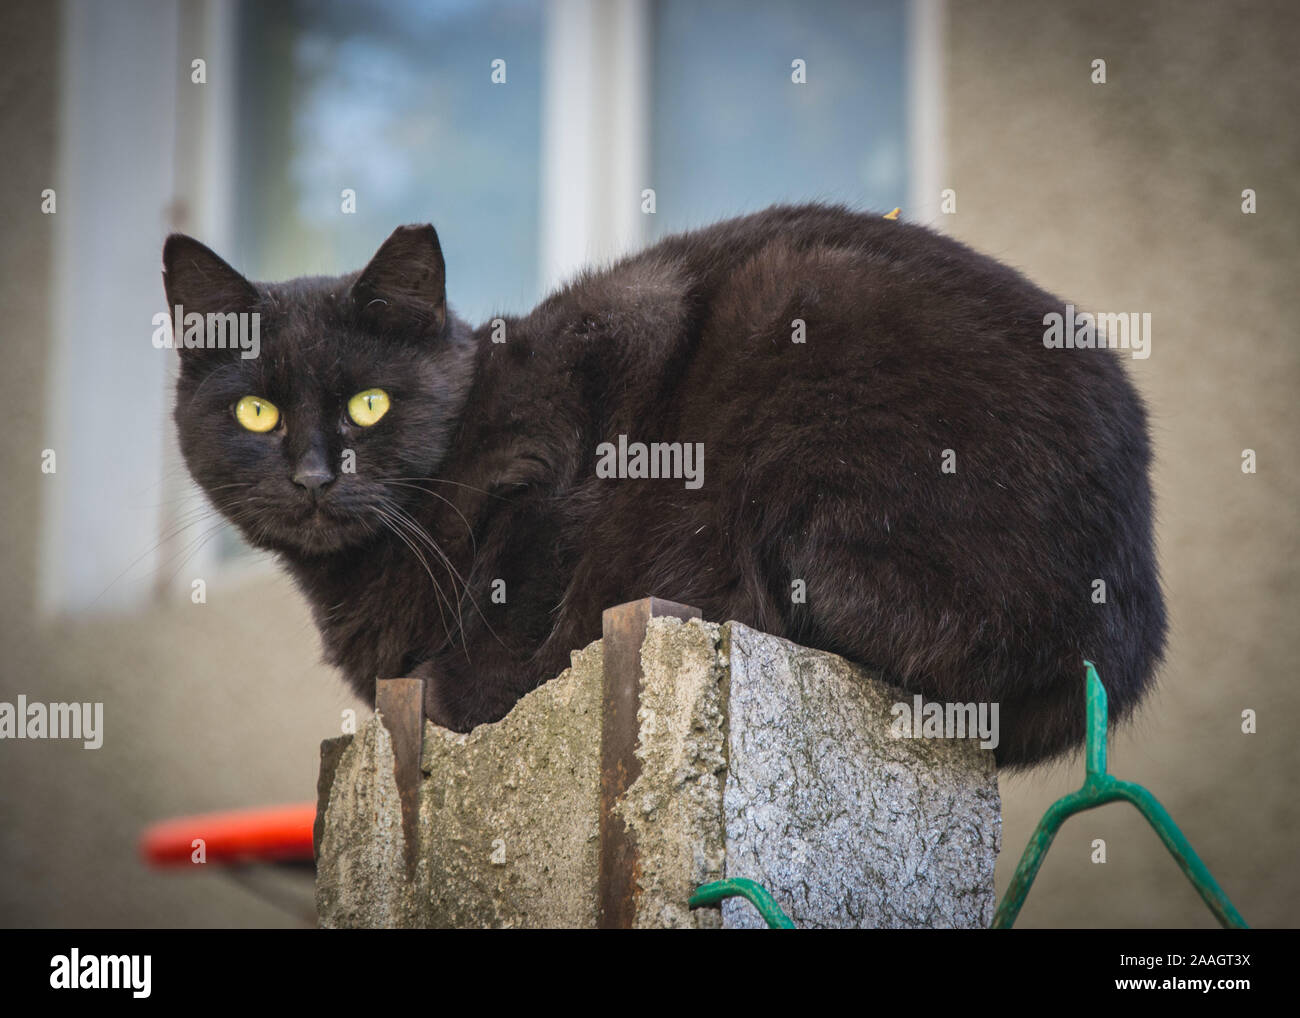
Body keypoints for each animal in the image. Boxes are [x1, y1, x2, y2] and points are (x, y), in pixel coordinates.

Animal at [165, 202, 1170, 769]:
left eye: (369, 403)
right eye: (256, 412)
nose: (312, 477)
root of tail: (1127, 610)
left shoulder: (592, 399)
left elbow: (523, 579)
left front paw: (468, 687)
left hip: (796, 315)